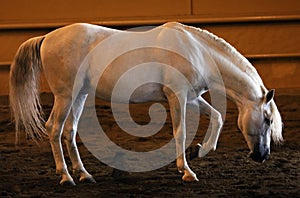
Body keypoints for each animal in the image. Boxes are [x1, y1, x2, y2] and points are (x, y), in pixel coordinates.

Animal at [8, 22, 282, 186]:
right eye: (267, 119)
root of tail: (47, 37)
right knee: (54, 128)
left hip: (79, 96)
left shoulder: (191, 97)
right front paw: (187, 171)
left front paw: (200, 150)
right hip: (66, 95)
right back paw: (66, 176)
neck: (197, 51)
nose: (263, 156)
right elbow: (181, 132)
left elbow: (217, 117)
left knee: (69, 131)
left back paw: (83, 174)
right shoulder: (177, 96)